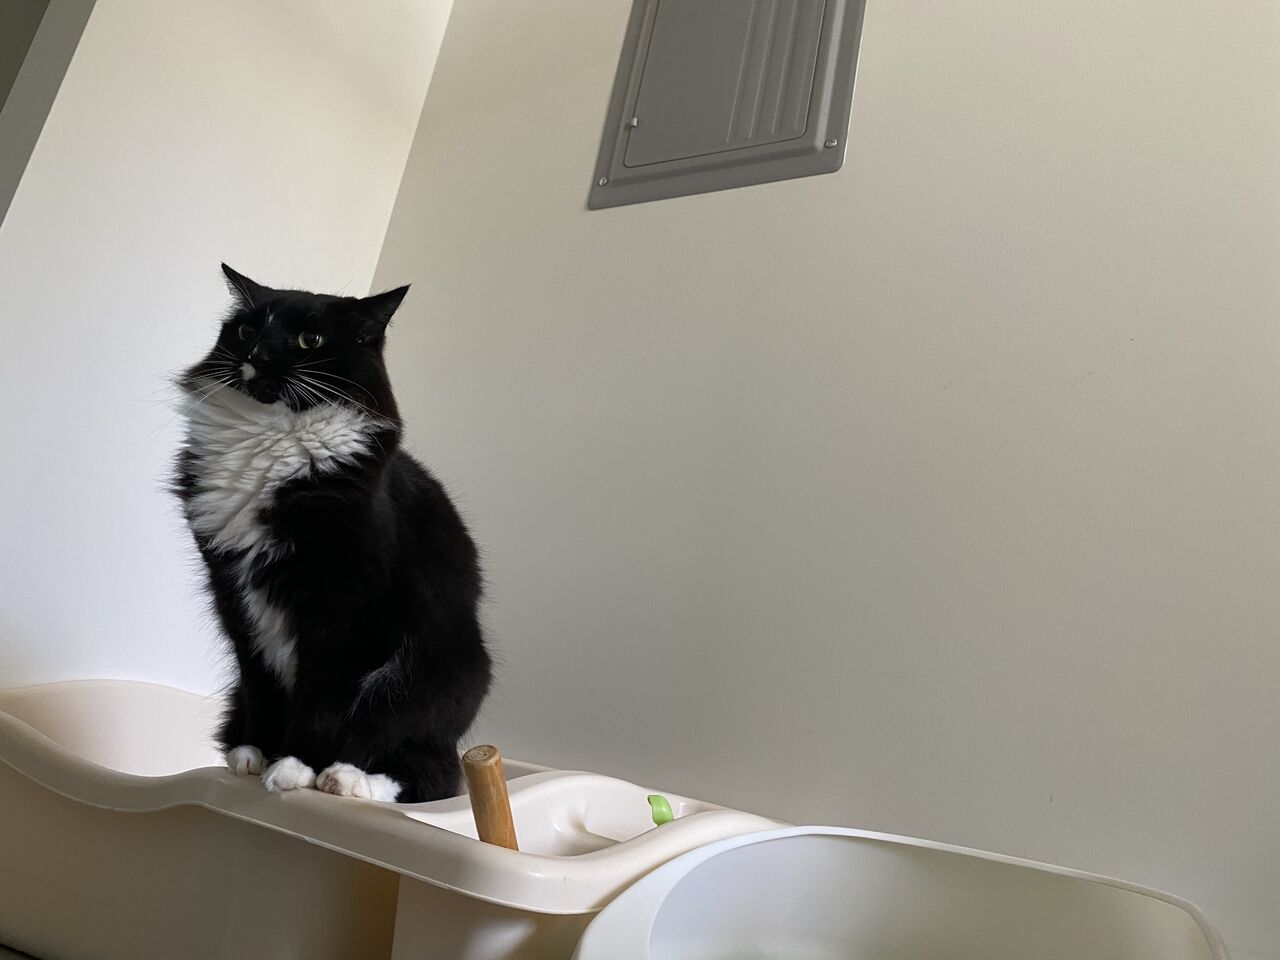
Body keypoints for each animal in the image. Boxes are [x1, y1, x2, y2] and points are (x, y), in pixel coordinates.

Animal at [173, 264, 491, 803]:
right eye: (247, 331)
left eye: (309, 340)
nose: (258, 356)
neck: (268, 439)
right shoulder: (233, 594)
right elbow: (260, 682)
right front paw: (256, 754)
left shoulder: (346, 603)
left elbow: (322, 697)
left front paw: (295, 766)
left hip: (435, 672)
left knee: (430, 772)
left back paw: (345, 779)